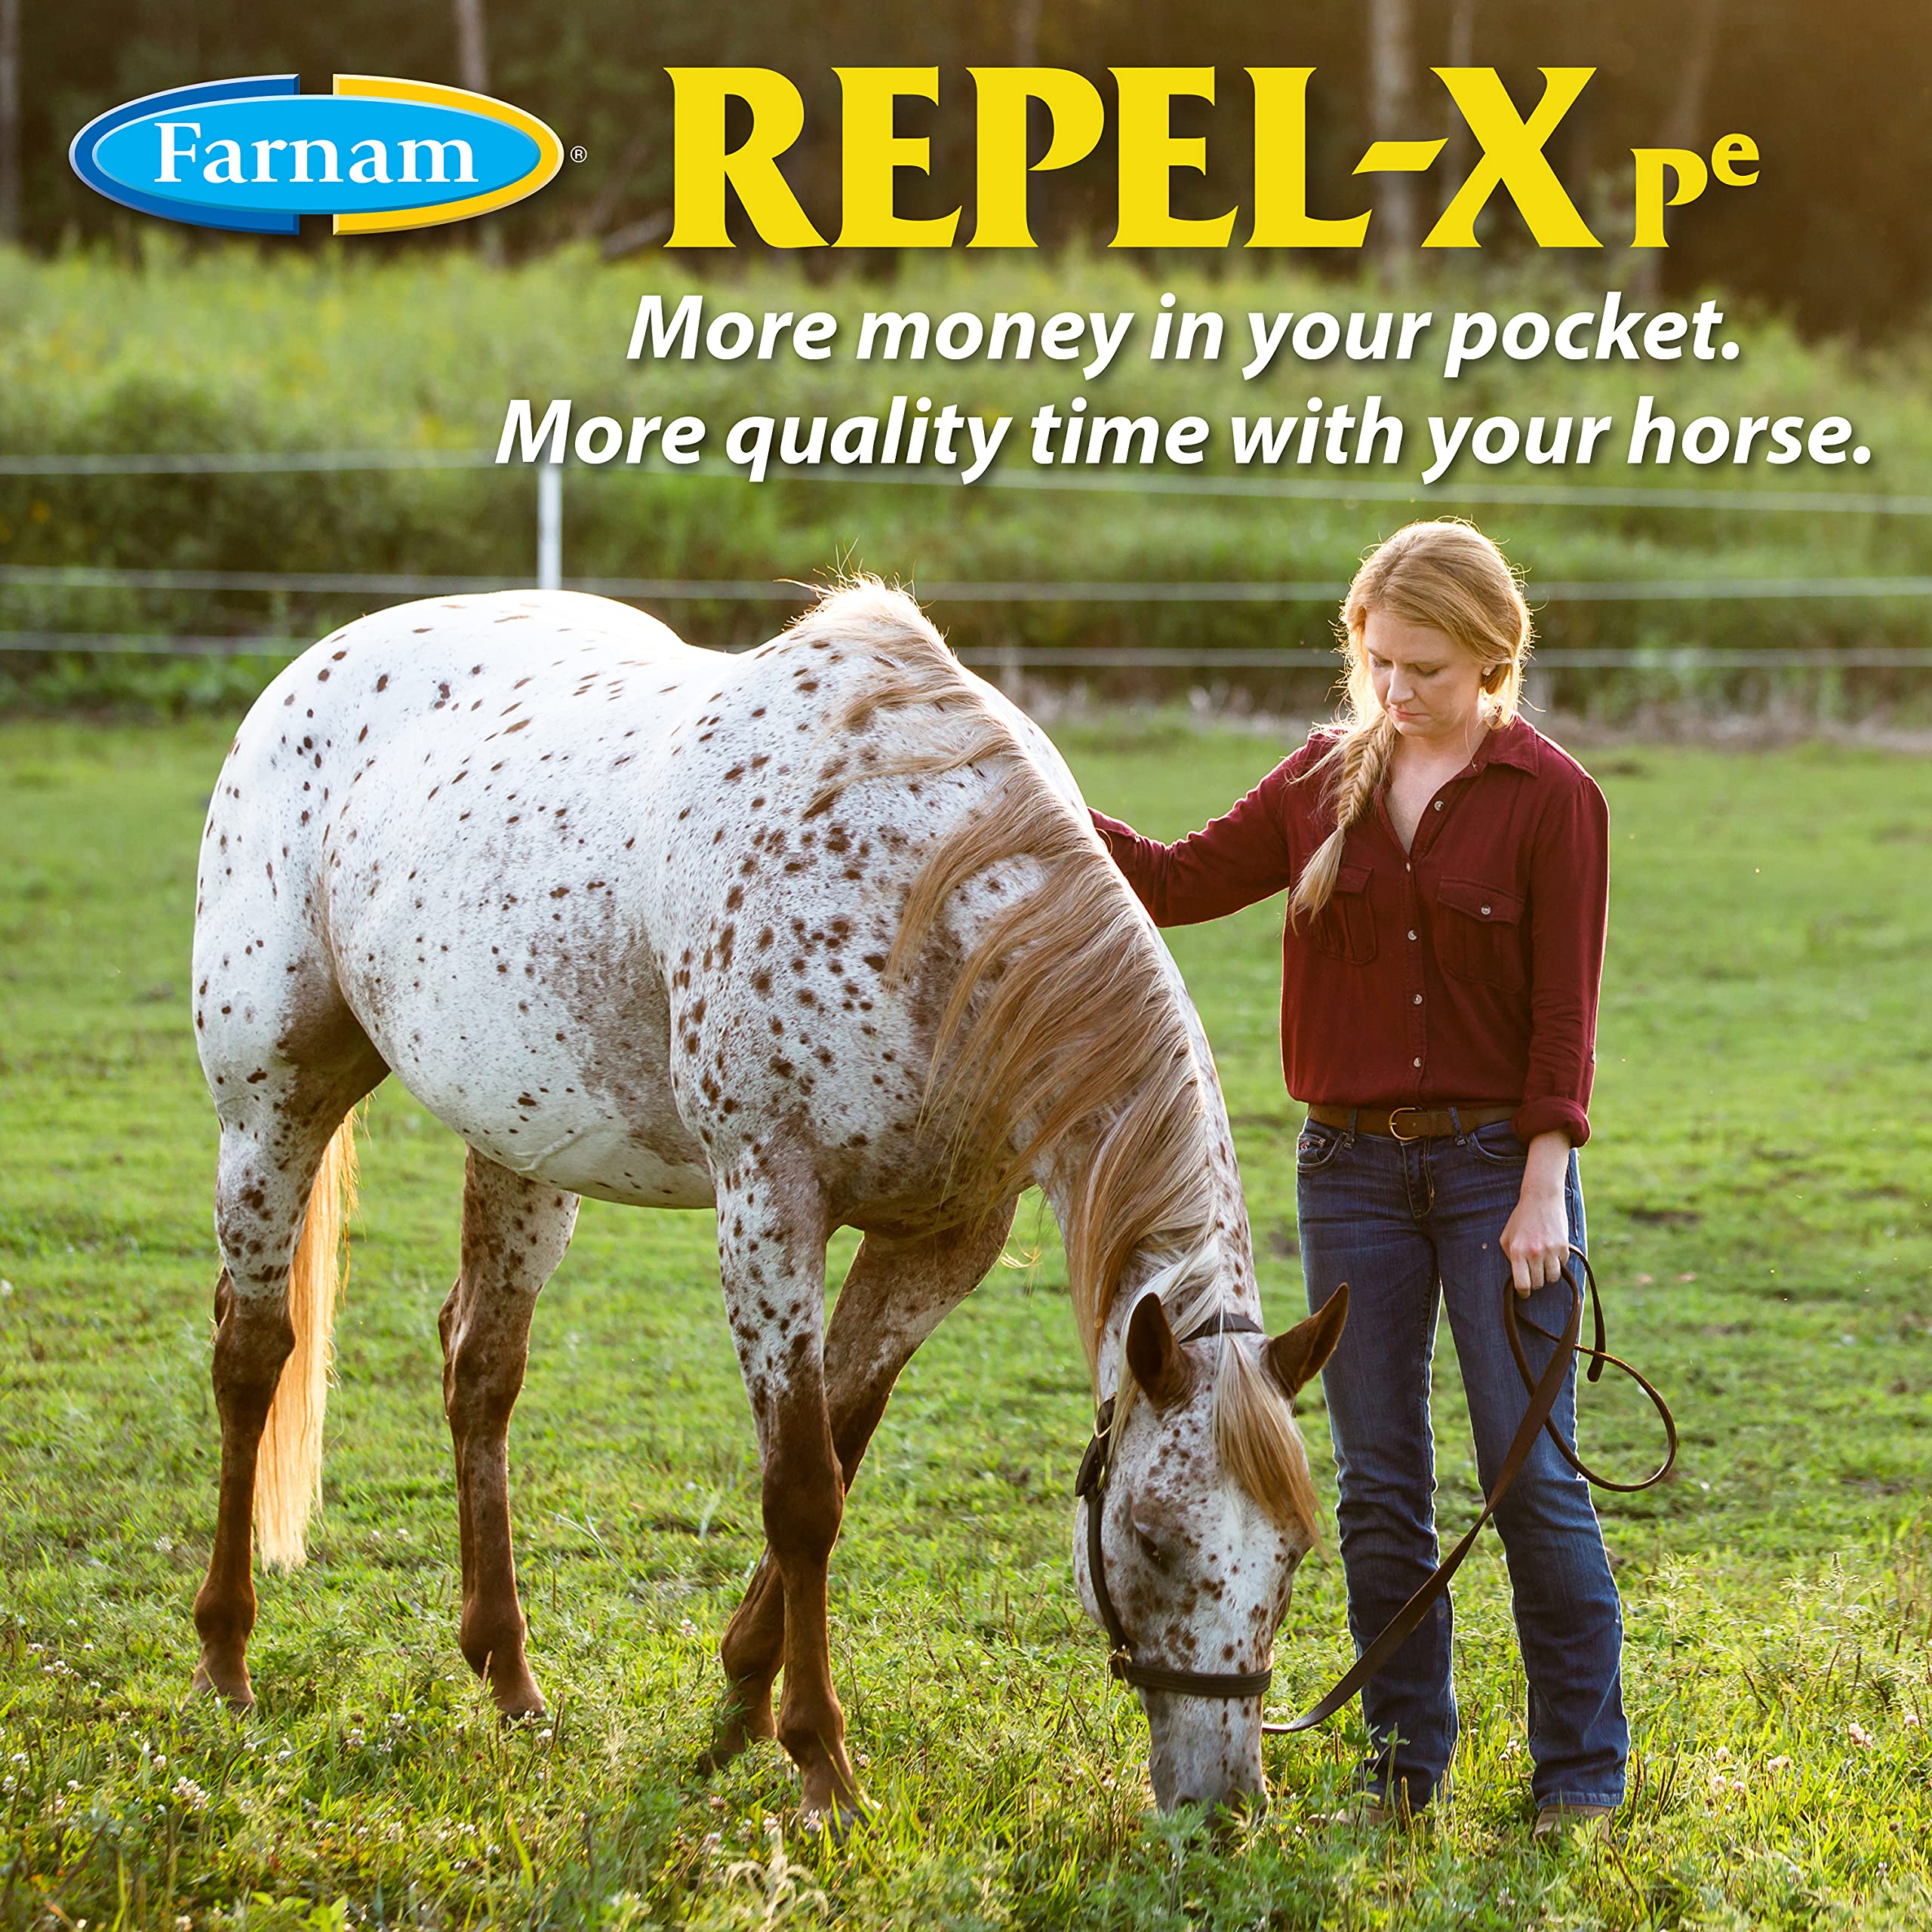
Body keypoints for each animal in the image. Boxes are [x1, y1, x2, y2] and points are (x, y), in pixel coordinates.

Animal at [188, 577, 1346, 1824]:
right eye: (1151, 1535)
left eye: (1296, 1552)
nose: (1224, 1803)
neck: (911, 896)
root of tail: (313, 668)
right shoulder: (768, 1208)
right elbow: (801, 1490)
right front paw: (819, 1760)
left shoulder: (940, 1244)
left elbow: (839, 1445)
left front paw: (741, 1701)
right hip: (271, 1111)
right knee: (253, 1355)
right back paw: (226, 1662)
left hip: (519, 1144)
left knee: (479, 1369)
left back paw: (510, 1678)